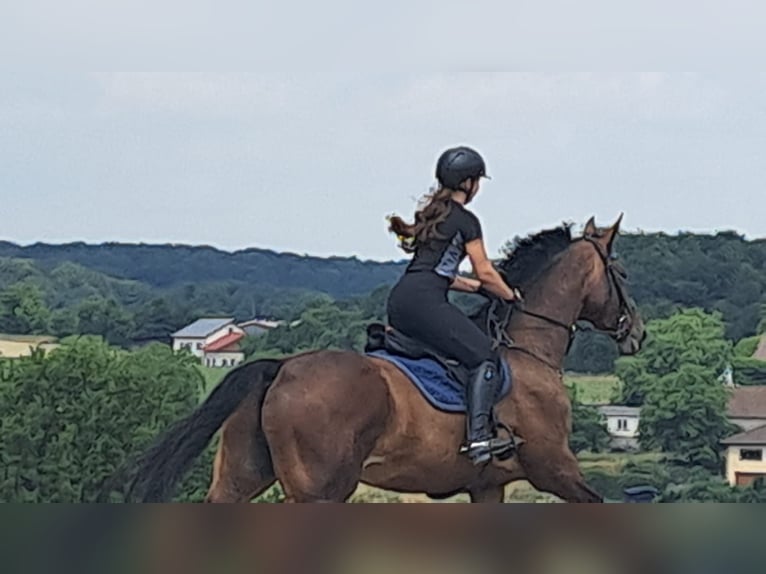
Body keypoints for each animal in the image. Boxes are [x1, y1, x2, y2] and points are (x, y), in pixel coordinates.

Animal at [126, 216, 648, 504]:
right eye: (622, 272)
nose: (638, 333)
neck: (528, 350)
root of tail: (280, 369)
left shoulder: (487, 485)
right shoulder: (554, 468)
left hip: (241, 477)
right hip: (320, 490)